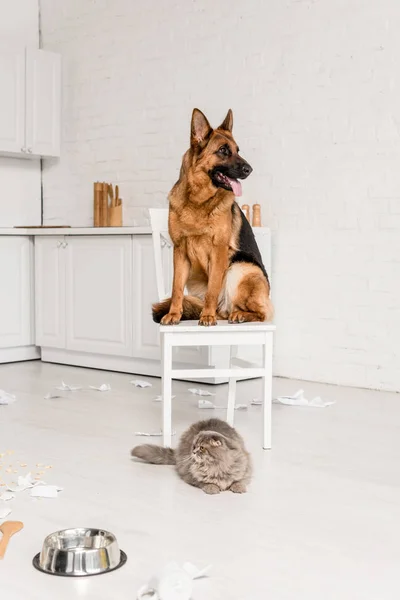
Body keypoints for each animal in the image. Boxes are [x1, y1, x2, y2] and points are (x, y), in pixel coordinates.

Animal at [152, 106, 274, 324]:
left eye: (237, 150)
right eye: (223, 150)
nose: (250, 169)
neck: (198, 201)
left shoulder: (218, 252)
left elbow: (213, 288)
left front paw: (207, 316)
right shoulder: (180, 252)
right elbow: (176, 288)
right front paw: (174, 314)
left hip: (241, 268)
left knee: (261, 314)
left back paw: (236, 314)